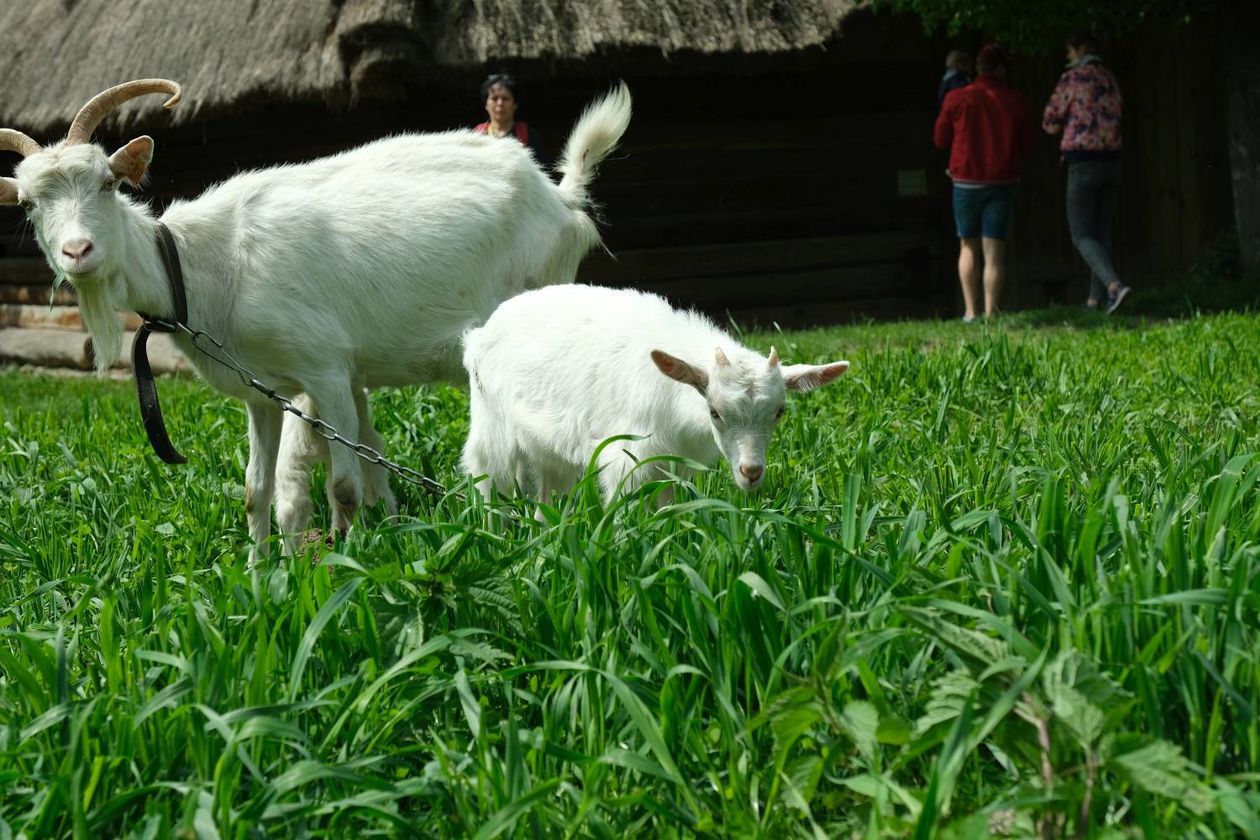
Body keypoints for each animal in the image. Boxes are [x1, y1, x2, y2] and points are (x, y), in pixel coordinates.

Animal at [0, 80, 630, 559]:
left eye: (107, 183)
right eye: (28, 205)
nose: (77, 252)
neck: (209, 263)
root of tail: (561, 201)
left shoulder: (327, 373)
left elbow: (345, 486)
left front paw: (344, 565)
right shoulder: (263, 390)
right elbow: (255, 490)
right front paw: (256, 577)